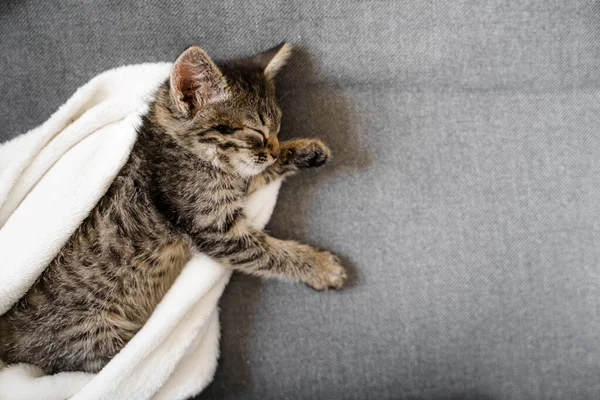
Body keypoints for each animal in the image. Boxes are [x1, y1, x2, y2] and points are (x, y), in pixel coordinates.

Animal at [0, 43, 346, 376]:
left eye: (277, 129)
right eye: (257, 133)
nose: (274, 149)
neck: (181, 146)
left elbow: (253, 174)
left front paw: (303, 150)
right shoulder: (212, 225)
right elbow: (270, 253)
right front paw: (319, 267)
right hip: (96, 338)